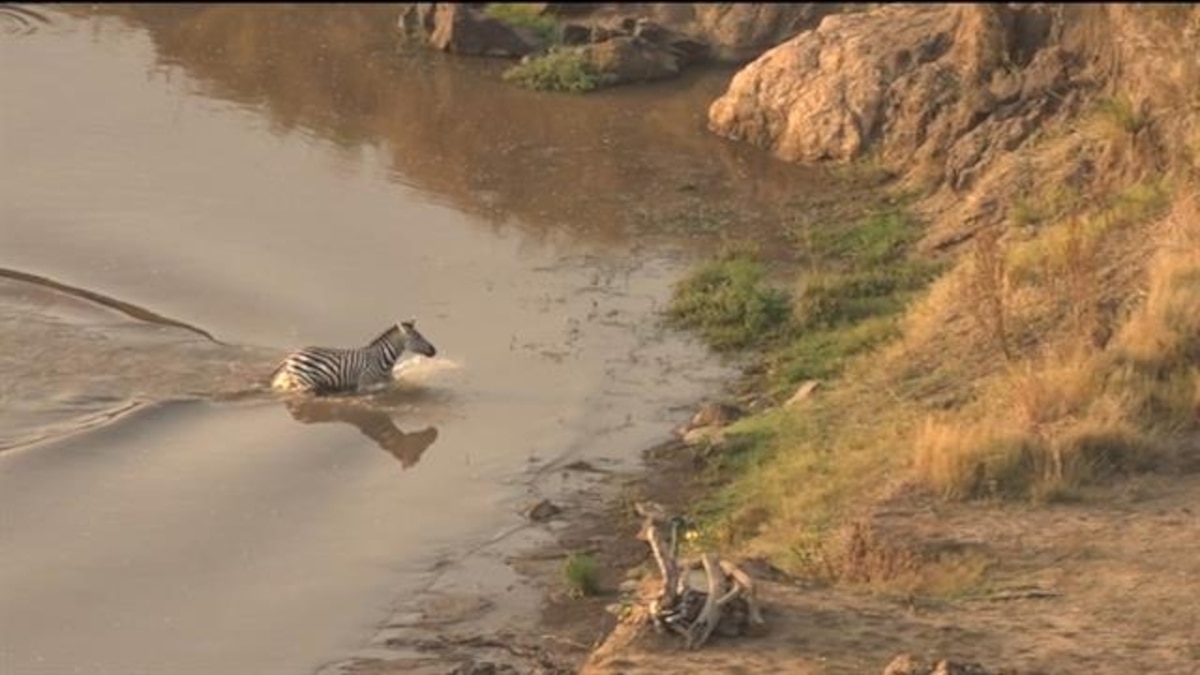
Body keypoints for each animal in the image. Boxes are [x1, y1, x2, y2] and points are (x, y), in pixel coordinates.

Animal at [270, 320, 437, 395]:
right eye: (417, 338)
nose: (434, 350)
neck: (383, 359)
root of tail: (292, 355)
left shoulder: (388, 380)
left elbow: (398, 385)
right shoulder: (364, 385)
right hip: (305, 381)